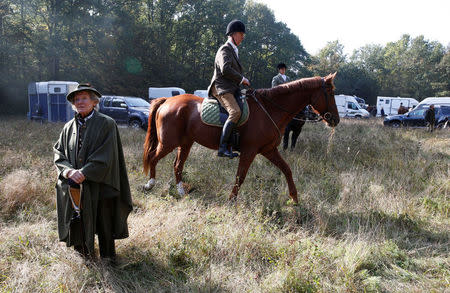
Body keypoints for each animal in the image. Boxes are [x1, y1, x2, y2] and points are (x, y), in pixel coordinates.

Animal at [144, 72, 338, 203]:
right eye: (330, 93)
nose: (335, 119)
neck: (269, 109)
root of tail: (167, 101)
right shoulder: (249, 151)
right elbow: (240, 176)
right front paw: (231, 200)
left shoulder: (269, 150)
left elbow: (287, 169)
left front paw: (295, 199)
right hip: (168, 143)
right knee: (153, 157)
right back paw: (150, 184)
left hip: (185, 143)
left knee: (177, 165)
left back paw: (181, 192)